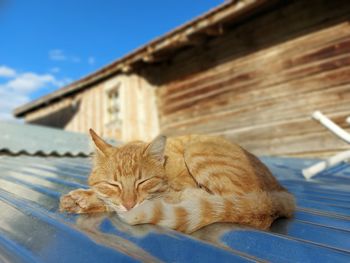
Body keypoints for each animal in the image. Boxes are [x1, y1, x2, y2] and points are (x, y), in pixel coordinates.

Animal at [60, 129, 296, 234]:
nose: (129, 204)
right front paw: (80, 199)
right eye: (113, 184)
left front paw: (87, 199)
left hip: (198, 149)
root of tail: (282, 191)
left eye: (142, 182)